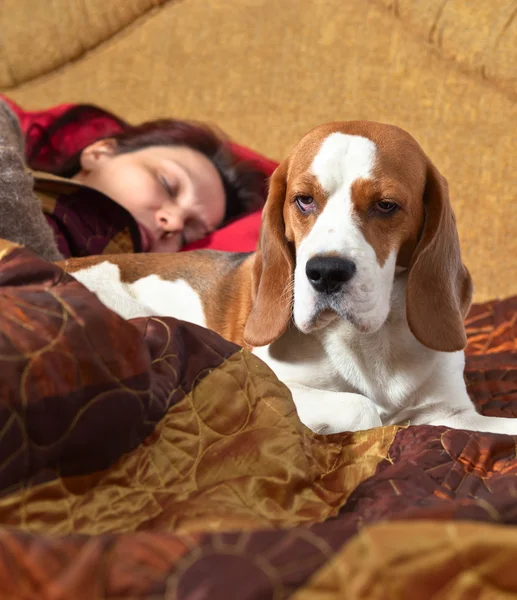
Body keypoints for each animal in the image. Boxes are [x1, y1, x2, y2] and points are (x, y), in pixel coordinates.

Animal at [59, 119, 516, 434]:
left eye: (386, 206)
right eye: (304, 200)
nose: (326, 273)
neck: (376, 341)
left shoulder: (453, 414)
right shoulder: (255, 379)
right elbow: (362, 408)